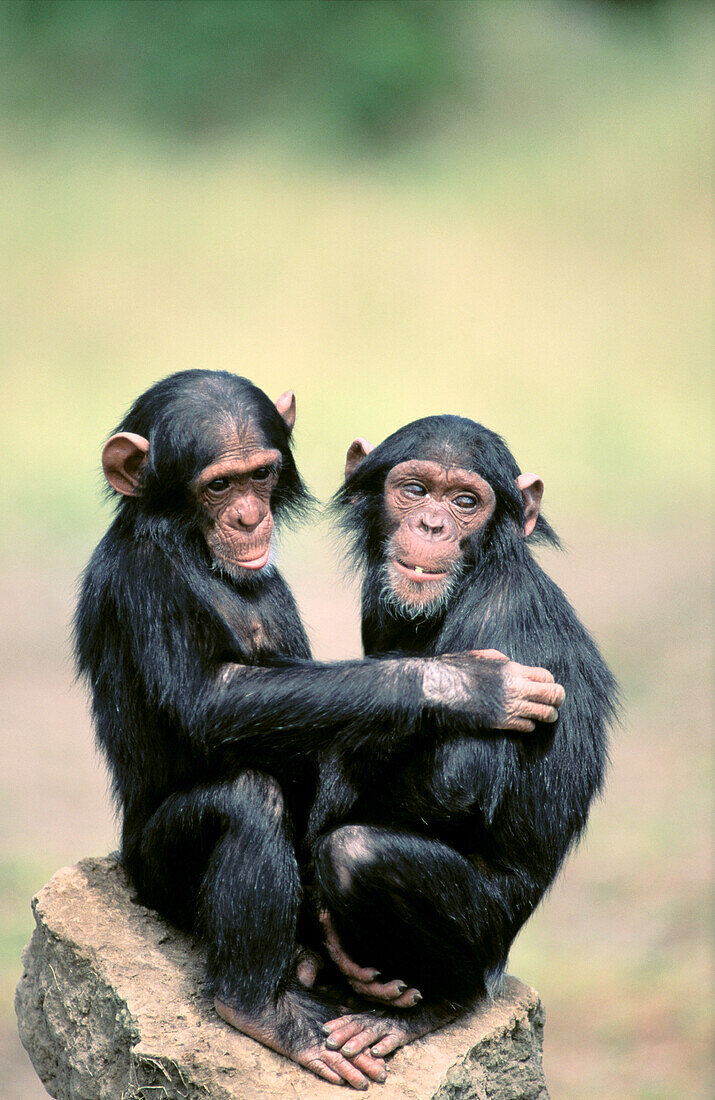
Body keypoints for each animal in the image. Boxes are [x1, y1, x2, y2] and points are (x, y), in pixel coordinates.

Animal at [70, 376, 556, 1091]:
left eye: (260, 475)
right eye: (219, 485)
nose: (249, 518)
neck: (188, 546)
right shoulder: (144, 578)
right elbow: (208, 698)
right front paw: (469, 686)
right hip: (153, 879)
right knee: (247, 799)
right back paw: (261, 1008)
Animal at [308, 415, 616, 1060]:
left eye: (466, 502)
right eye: (416, 490)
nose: (433, 525)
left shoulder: (505, 626)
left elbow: (456, 784)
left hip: (485, 943)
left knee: (356, 853)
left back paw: (420, 1009)